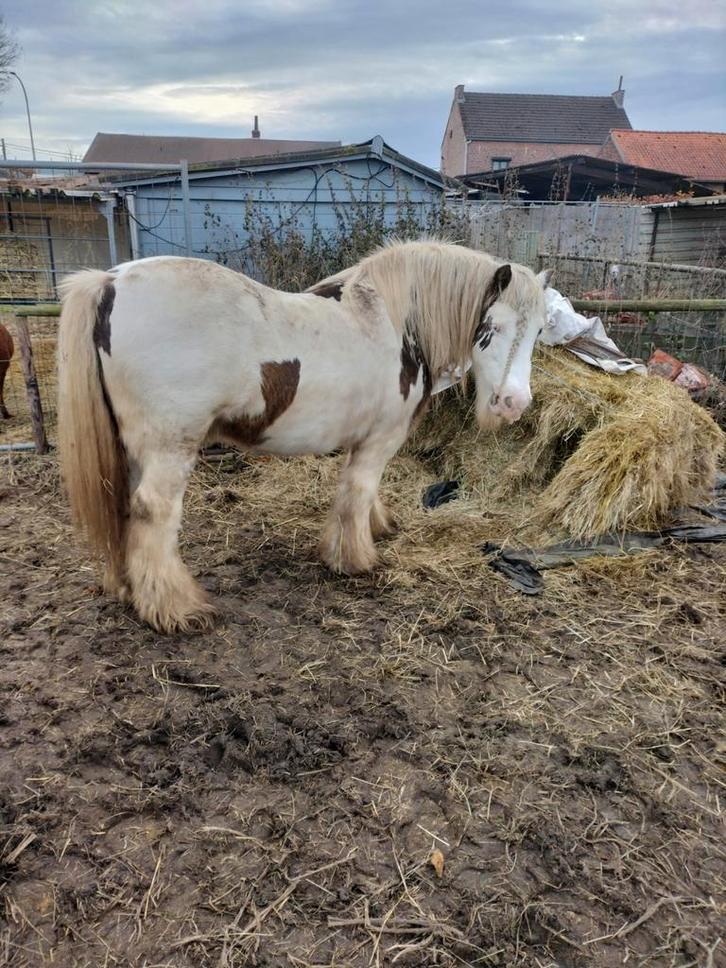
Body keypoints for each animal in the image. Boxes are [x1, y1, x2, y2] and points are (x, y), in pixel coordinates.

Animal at [57, 240, 549, 633]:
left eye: (539, 329)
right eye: (493, 328)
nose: (514, 403)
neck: (393, 322)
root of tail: (111, 281)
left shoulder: (363, 439)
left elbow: (360, 495)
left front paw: (376, 527)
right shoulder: (380, 440)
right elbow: (357, 492)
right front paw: (355, 560)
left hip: (133, 451)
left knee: (124, 507)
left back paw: (129, 588)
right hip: (169, 449)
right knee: (153, 512)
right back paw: (175, 608)